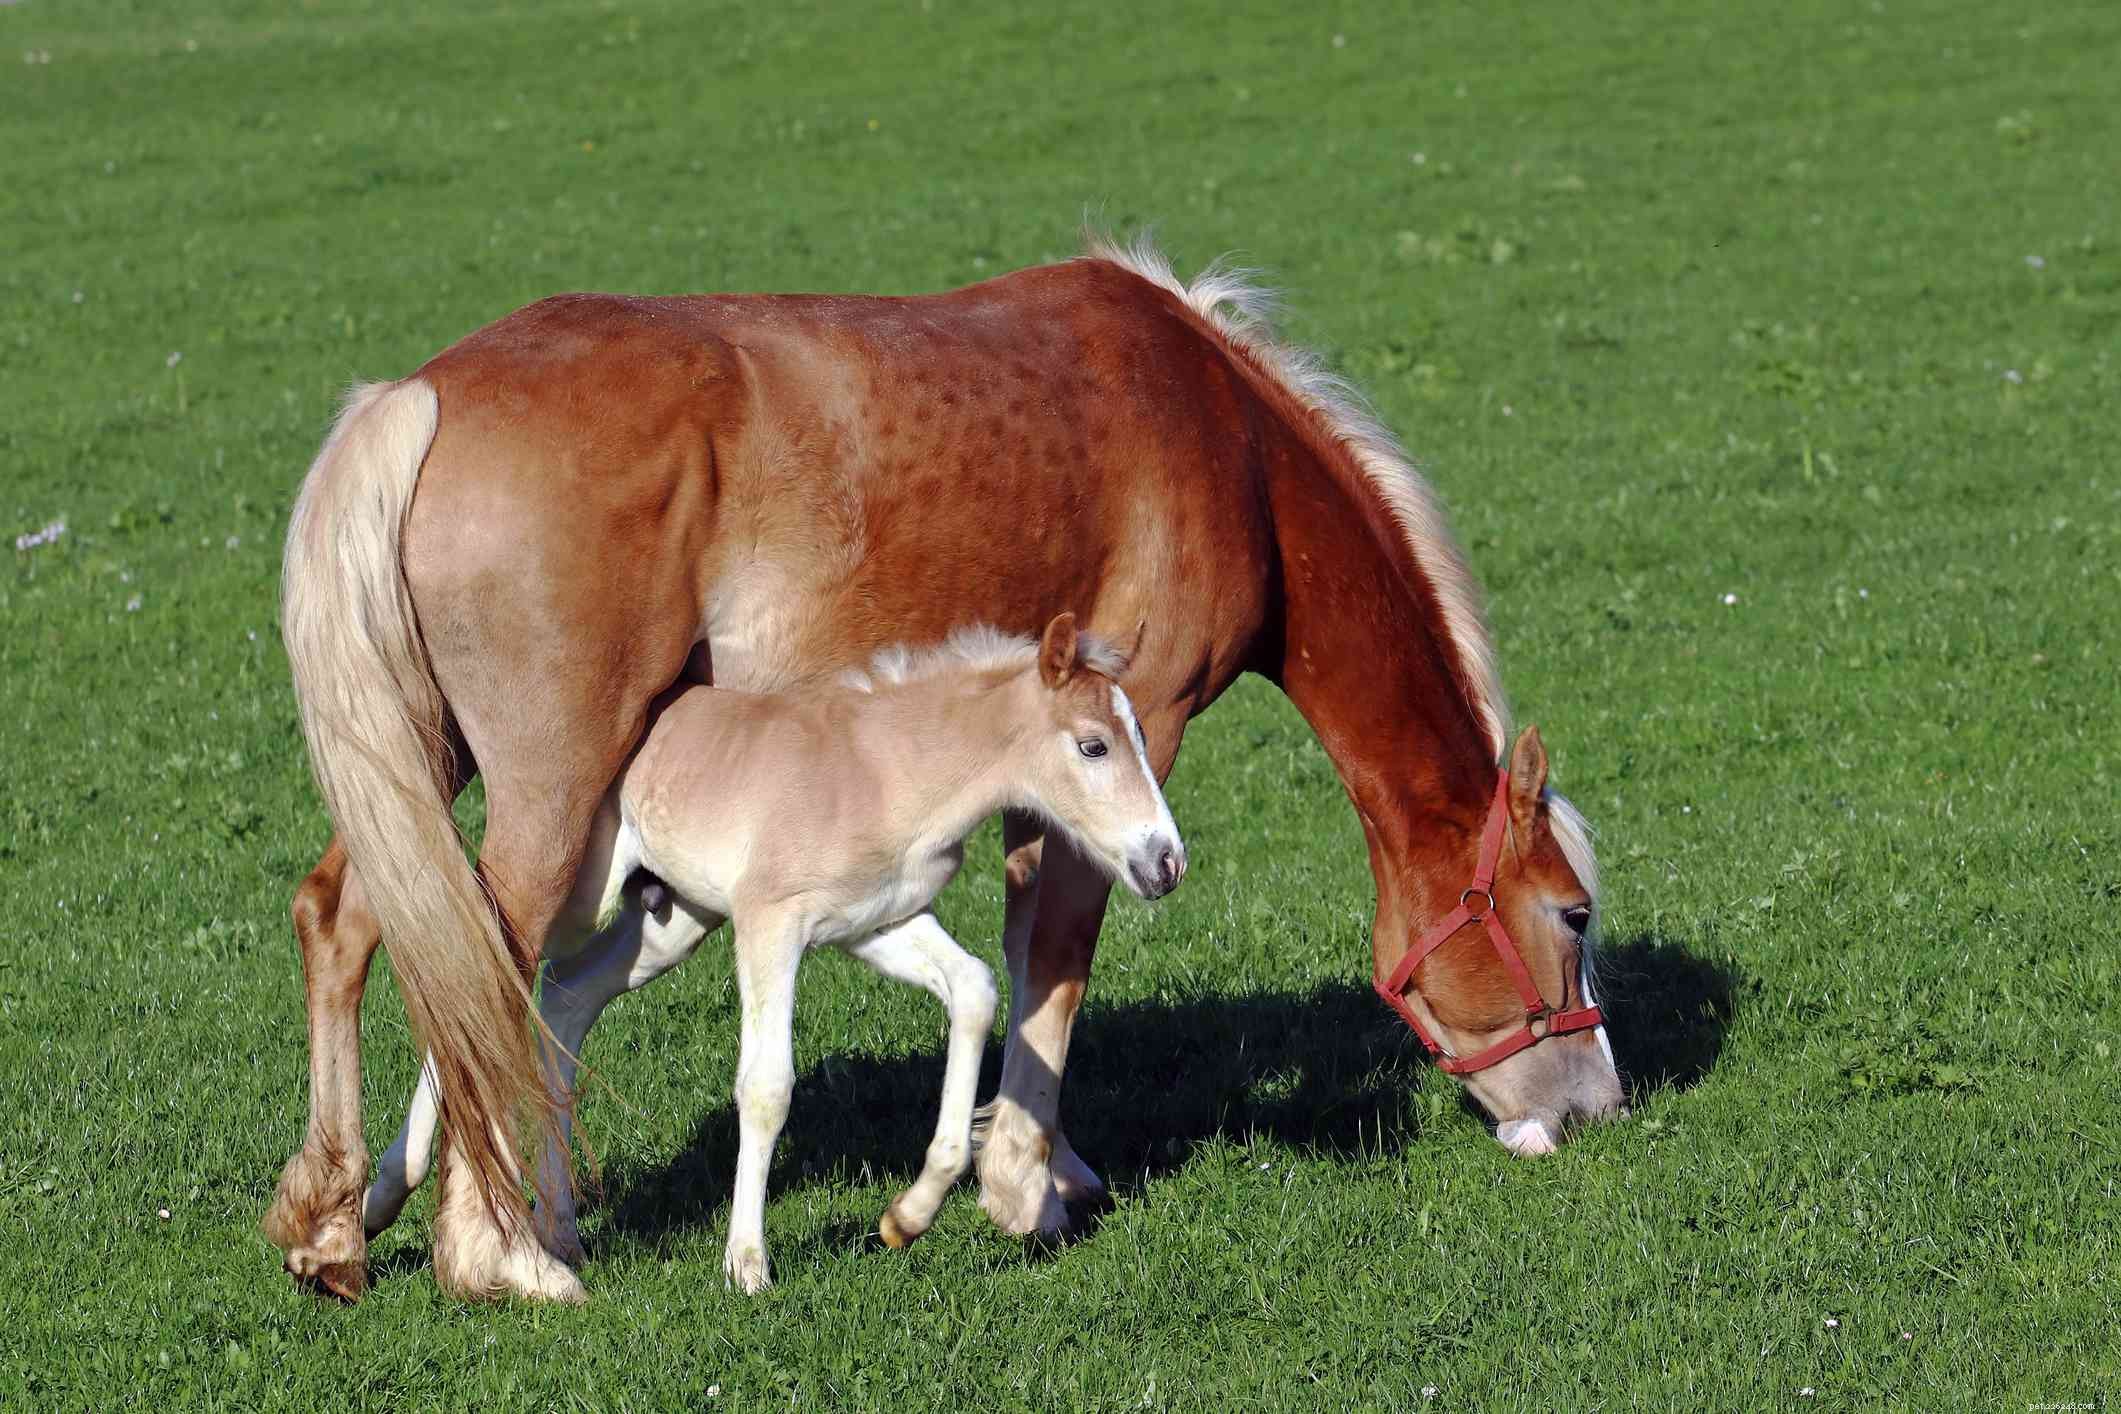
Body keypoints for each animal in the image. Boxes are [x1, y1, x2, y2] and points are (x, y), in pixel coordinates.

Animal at [355, 615, 1183, 1296]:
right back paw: (387, 1197)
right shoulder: (770, 924)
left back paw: (556, 1230)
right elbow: (765, 1086)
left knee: (561, 999)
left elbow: (975, 989)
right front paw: (746, 1263)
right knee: (474, 983)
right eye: (1093, 745)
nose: (1165, 862)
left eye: (1141, 738)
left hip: (672, 920)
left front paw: (907, 1215)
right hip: (579, 898)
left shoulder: (877, 923)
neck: (885, 770)